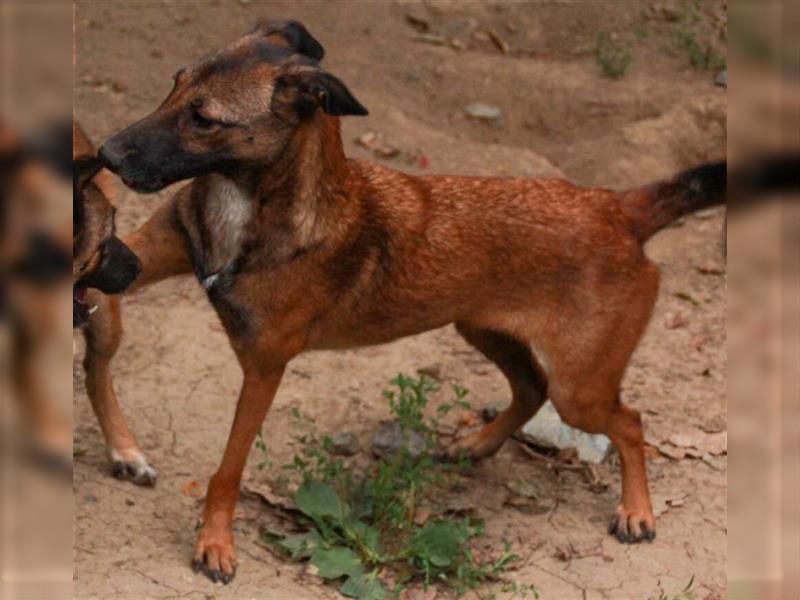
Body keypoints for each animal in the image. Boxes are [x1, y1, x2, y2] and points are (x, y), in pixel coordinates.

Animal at [97, 21, 728, 584]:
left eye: (204, 119)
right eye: (173, 84)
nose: (104, 153)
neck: (251, 208)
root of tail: (616, 207)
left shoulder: (263, 369)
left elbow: (228, 468)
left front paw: (215, 543)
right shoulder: (136, 259)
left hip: (582, 387)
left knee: (629, 421)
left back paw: (636, 510)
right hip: (482, 329)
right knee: (531, 388)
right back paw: (477, 445)